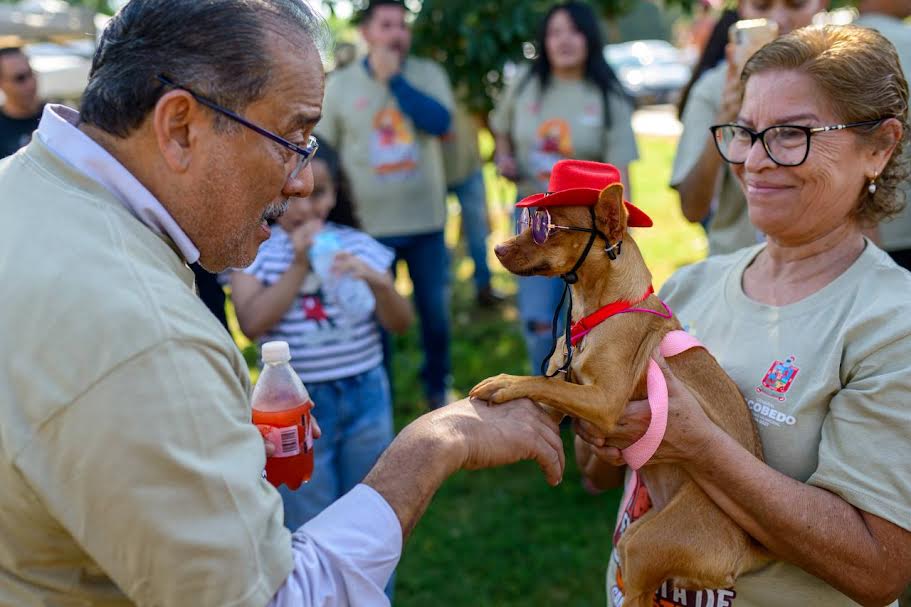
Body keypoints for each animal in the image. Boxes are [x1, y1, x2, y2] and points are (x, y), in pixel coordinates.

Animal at [474, 167, 764, 607]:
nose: (497, 248)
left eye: (545, 229)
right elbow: (549, 386)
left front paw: (505, 381)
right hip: (639, 538)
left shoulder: (605, 400)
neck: (597, 314)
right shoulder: (566, 390)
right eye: (528, 220)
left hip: (644, 546)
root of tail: (747, 553)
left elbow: (538, 382)